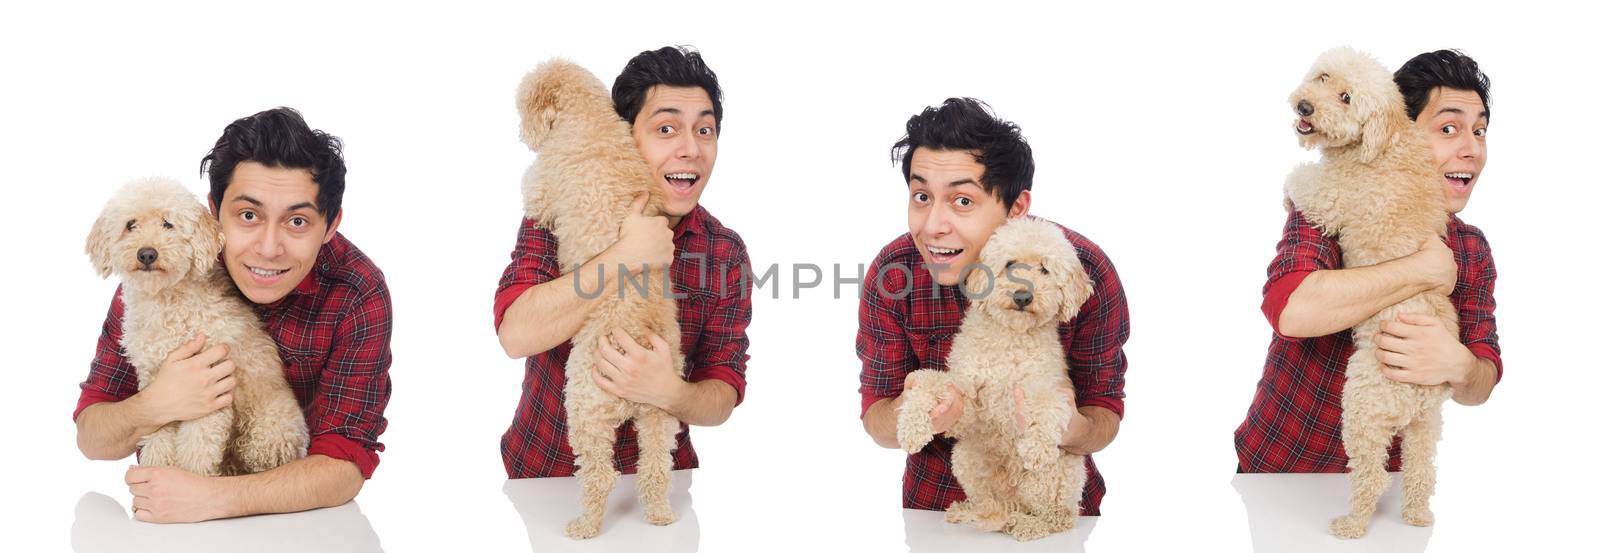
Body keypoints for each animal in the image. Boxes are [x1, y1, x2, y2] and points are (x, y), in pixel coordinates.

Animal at [87, 177, 308, 476]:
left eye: (168, 224)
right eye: (130, 225)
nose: (147, 254)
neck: (167, 302)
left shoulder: (213, 387)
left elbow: (197, 447)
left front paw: (187, 480)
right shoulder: (156, 387)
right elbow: (157, 433)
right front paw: (158, 466)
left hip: (267, 433)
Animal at [896, 218, 1094, 543]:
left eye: (1044, 269)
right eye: (1010, 263)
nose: (1023, 296)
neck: (1010, 338)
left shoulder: (1043, 387)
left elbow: (1049, 404)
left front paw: (1037, 446)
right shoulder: (967, 402)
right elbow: (928, 383)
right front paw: (912, 427)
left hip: (1055, 476)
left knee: (1058, 517)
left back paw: (1030, 525)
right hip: (966, 457)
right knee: (992, 504)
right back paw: (971, 511)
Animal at [1280, 48, 1459, 540]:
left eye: (1347, 98)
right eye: (1324, 77)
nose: (1306, 108)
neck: (1382, 142)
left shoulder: (1332, 198)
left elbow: (1302, 179)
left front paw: (1286, 189)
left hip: (1361, 405)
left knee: (1373, 476)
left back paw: (1351, 524)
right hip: (1425, 428)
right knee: (1420, 473)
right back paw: (1417, 517)